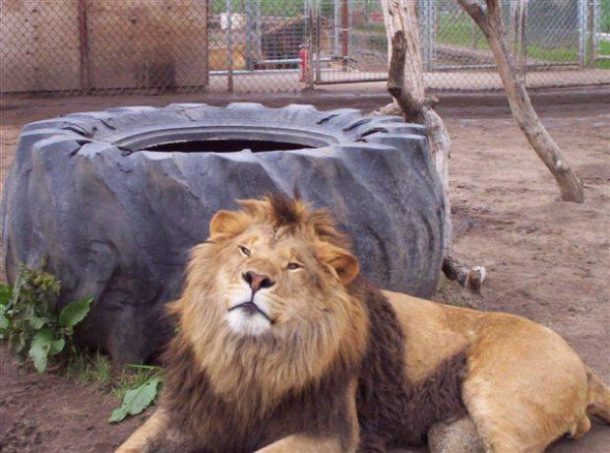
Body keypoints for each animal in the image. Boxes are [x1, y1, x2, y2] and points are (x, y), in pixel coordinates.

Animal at [117, 195, 609, 453]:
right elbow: (127, 447)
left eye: (293, 265)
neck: (249, 356)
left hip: (498, 401)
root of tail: (584, 367)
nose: (255, 278)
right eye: (244, 250)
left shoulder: (329, 431)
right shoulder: (187, 412)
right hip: (450, 435)